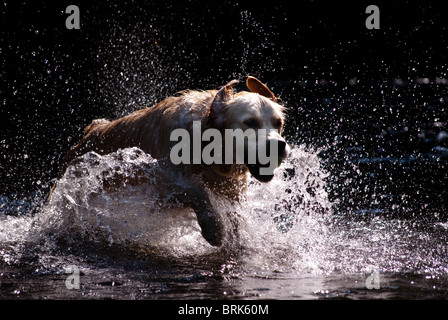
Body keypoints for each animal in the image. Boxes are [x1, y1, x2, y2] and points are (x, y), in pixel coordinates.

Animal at [53, 76, 290, 246]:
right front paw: (214, 229)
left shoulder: (233, 191)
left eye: (278, 123)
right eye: (250, 122)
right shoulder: (162, 179)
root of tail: (90, 131)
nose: (280, 145)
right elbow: (198, 192)